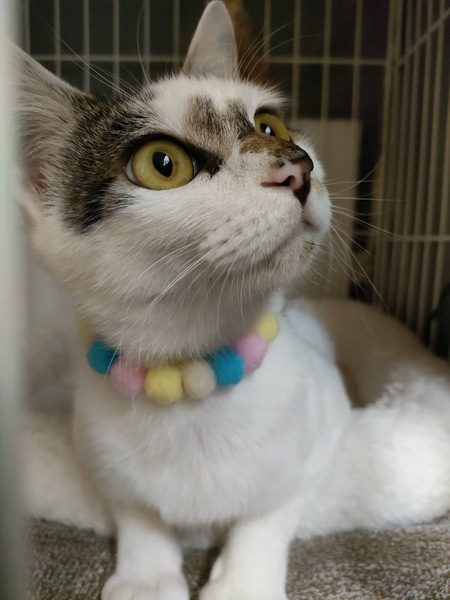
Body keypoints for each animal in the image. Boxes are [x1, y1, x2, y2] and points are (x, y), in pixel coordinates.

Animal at [16, 2, 450, 599]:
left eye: (271, 126)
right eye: (162, 163)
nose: (297, 165)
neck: (190, 375)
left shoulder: (320, 435)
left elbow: (269, 508)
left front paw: (243, 581)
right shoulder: (97, 450)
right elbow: (135, 508)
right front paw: (147, 576)